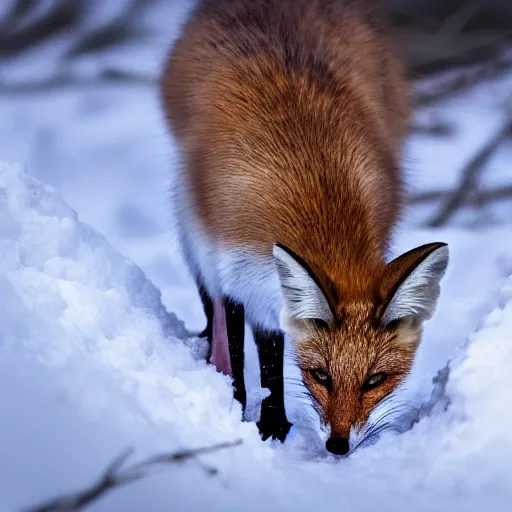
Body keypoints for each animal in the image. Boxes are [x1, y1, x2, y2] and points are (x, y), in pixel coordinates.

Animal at [160, 0, 448, 456]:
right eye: (321, 375)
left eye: (375, 380)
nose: (338, 446)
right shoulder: (234, 267)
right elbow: (253, 352)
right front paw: (245, 412)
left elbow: (271, 354)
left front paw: (271, 422)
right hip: (188, 213)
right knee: (210, 304)